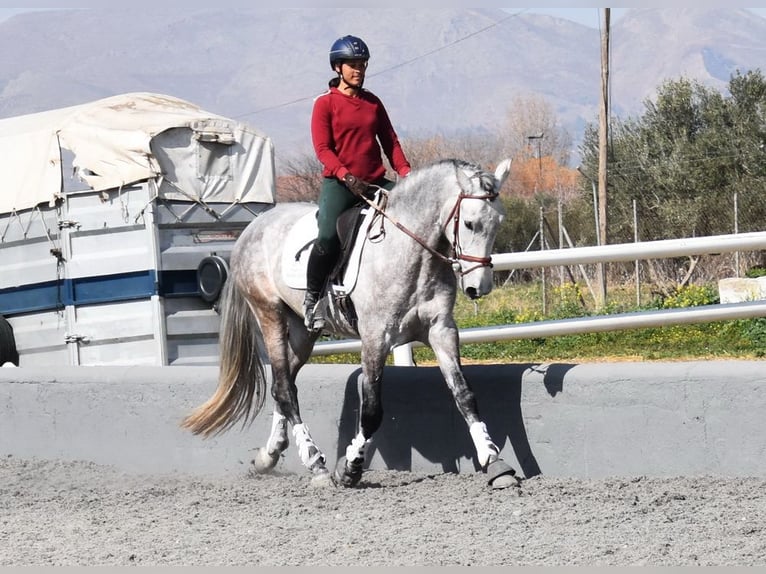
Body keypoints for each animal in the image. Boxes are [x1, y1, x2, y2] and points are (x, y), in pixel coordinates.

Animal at [182, 158, 516, 490]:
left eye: (499, 222)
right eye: (470, 223)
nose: (478, 287)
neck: (411, 253)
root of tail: (253, 228)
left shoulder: (441, 330)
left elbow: (465, 395)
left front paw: (494, 461)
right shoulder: (375, 337)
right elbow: (371, 411)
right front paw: (351, 468)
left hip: (303, 332)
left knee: (282, 384)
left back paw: (269, 456)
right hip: (269, 314)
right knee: (286, 389)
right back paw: (316, 464)